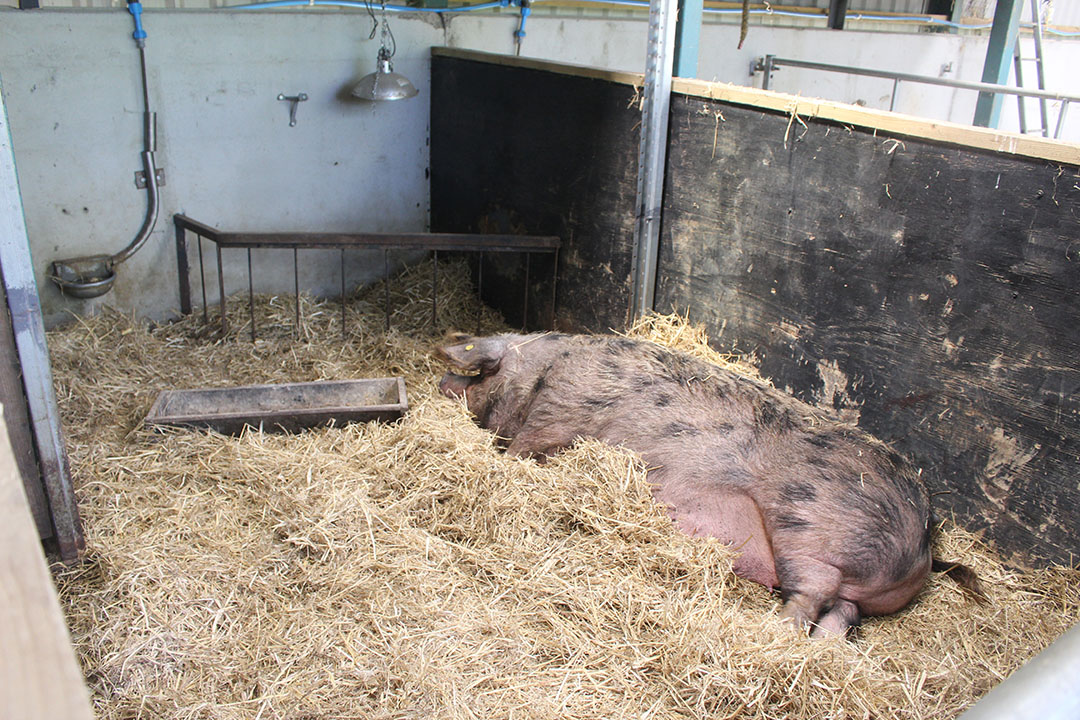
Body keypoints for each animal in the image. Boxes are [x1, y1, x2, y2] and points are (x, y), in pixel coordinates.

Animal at [438, 332, 989, 634]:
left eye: (477, 374)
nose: (442, 381)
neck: (540, 371)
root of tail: (925, 540)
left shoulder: (554, 416)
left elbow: (518, 452)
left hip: (806, 523)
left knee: (811, 597)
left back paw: (768, 630)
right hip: (842, 578)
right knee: (839, 619)